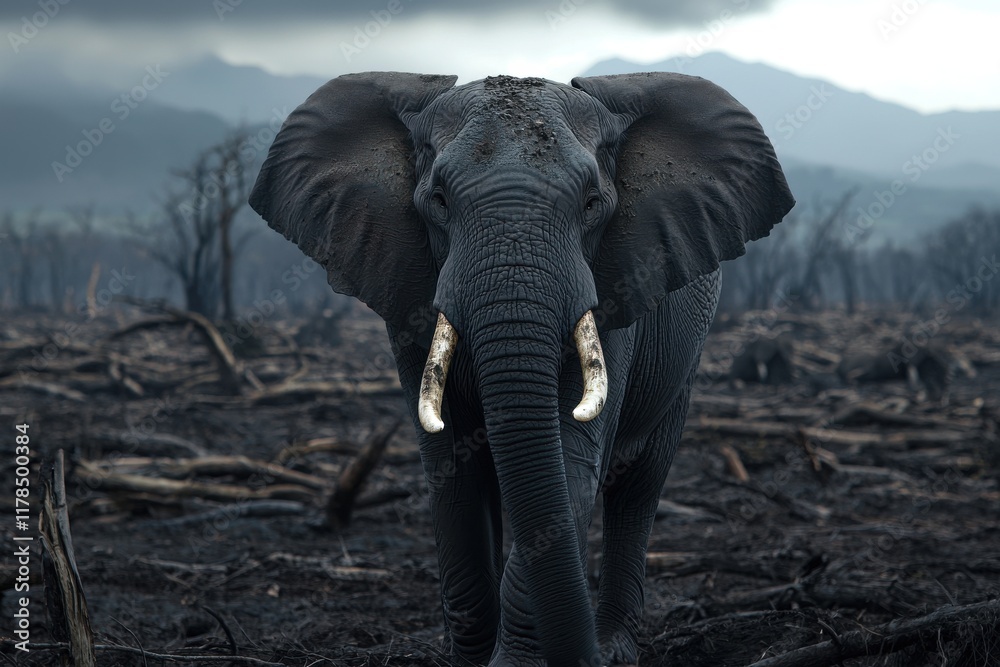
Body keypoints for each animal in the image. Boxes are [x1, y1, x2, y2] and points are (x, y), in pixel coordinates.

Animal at [249, 71, 794, 666]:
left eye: (592, 204)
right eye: (438, 200)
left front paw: (513, 663)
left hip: (687, 357)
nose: (586, 657)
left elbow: (572, 459)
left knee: (639, 484)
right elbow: (451, 470)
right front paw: (468, 660)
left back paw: (615, 646)